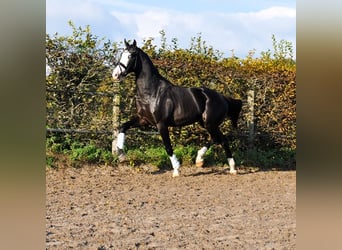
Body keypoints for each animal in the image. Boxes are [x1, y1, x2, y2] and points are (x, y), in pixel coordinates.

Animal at [111, 39, 240, 177]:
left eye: (131, 55)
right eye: (122, 54)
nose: (115, 74)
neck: (152, 92)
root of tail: (223, 98)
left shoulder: (161, 124)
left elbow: (168, 147)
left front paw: (176, 170)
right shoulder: (144, 120)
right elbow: (123, 126)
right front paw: (121, 154)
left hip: (210, 123)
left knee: (221, 139)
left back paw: (226, 167)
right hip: (206, 123)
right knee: (218, 139)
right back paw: (205, 162)